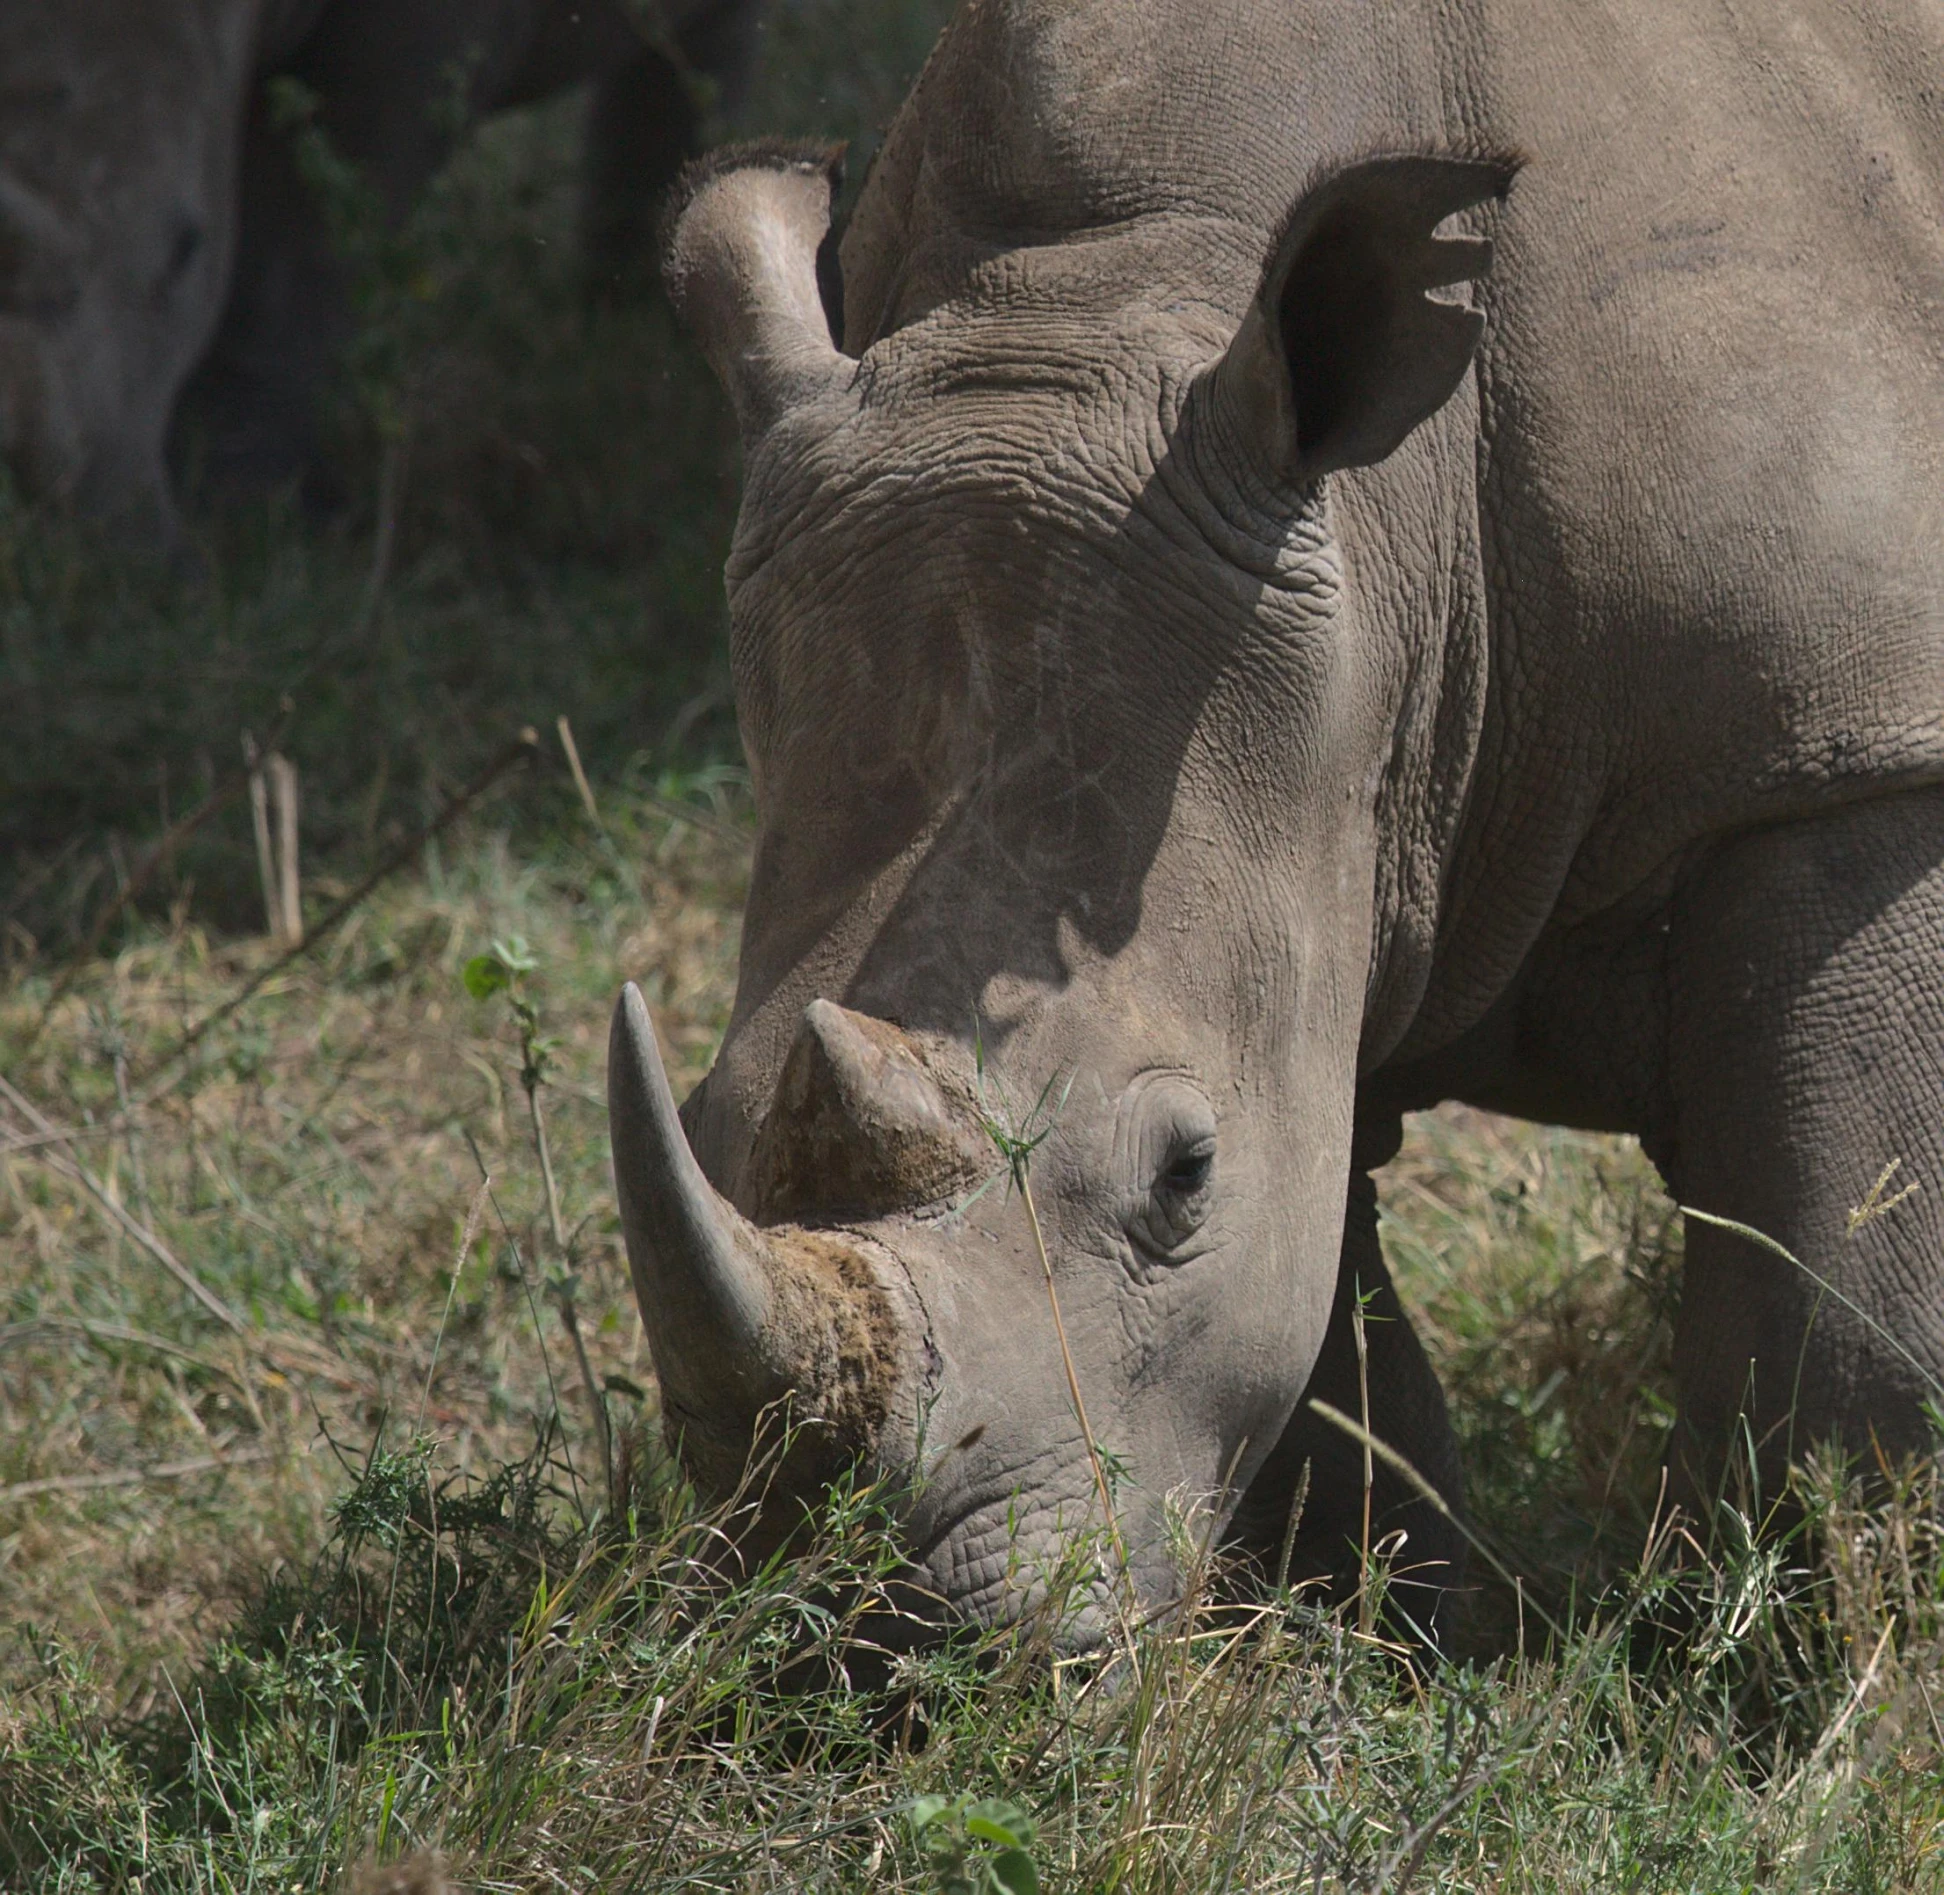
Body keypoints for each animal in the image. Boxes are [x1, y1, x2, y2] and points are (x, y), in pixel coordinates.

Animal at [614, 0, 1944, 1640]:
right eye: (702, 1122)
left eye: (1181, 1169)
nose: (867, 1638)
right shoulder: (1308, 833)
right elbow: (1321, 1366)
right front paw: (1387, 1637)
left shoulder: (1839, 749)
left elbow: (1849, 1316)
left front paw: (1813, 1636)